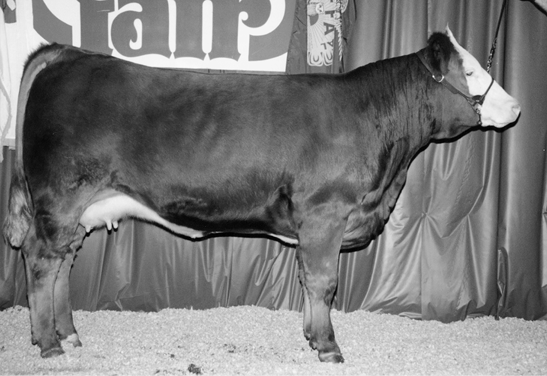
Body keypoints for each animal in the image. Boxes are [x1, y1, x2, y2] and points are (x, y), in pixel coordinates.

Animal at [3, 26, 520, 362]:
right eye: (472, 72)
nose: (515, 105)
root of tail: (68, 54)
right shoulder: (325, 214)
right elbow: (323, 282)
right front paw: (328, 347)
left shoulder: (317, 224)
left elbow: (310, 282)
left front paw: (312, 337)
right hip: (60, 199)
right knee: (41, 262)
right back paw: (48, 344)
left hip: (78, 211)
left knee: (62, 265)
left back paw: (70, 335)